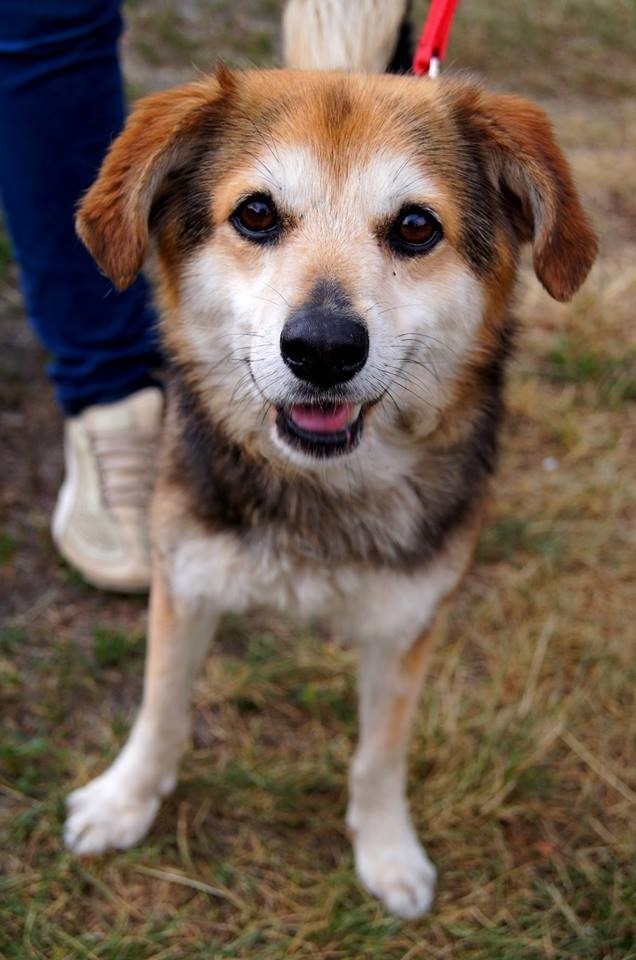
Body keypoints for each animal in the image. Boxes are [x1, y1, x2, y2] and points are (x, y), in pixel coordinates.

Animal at [63, 0, 596, 920]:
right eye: (256, 214)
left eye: (416, 226)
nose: (322, 349)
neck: (320, 489)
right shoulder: (186, 576)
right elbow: (161, 704)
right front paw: (125, 799)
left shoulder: (408, 623)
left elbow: (381, 752)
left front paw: (387, 850)